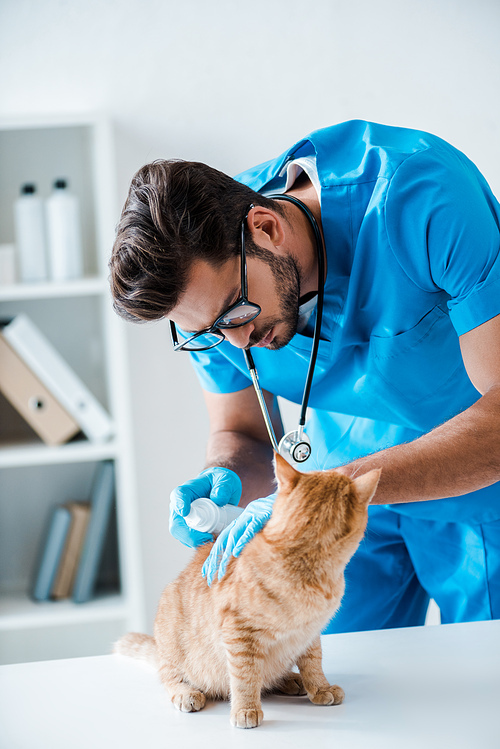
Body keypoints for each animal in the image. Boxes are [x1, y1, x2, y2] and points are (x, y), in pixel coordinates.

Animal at [113, 452, 378, 728]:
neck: (306, 565)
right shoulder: (240, 633)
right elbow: (245, 676)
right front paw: (245, 709)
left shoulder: (309, 633)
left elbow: (313, 663)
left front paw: (320, 687)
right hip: (173, 646)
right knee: (170, 677)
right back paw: (186, 693)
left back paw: (291, 679)